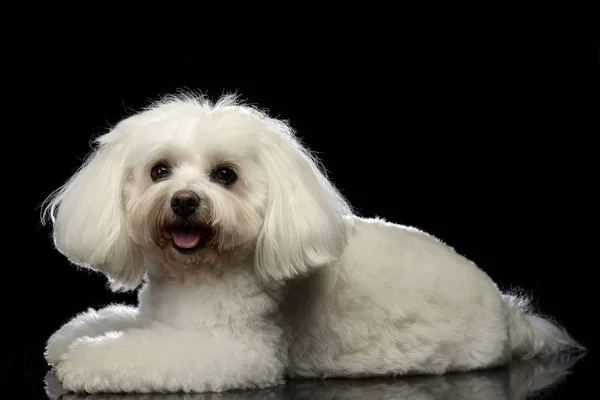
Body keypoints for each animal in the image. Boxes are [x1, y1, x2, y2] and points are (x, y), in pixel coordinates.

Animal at [39, 92, 580, 392]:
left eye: (226, 175)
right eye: (160, 171)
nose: (186, 201)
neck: (197, 273)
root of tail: (509, 312)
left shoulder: (234, 352)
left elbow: (133, 351)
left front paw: (82, 359)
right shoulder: (162, 318)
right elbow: (117, 323)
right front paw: (74, 335)